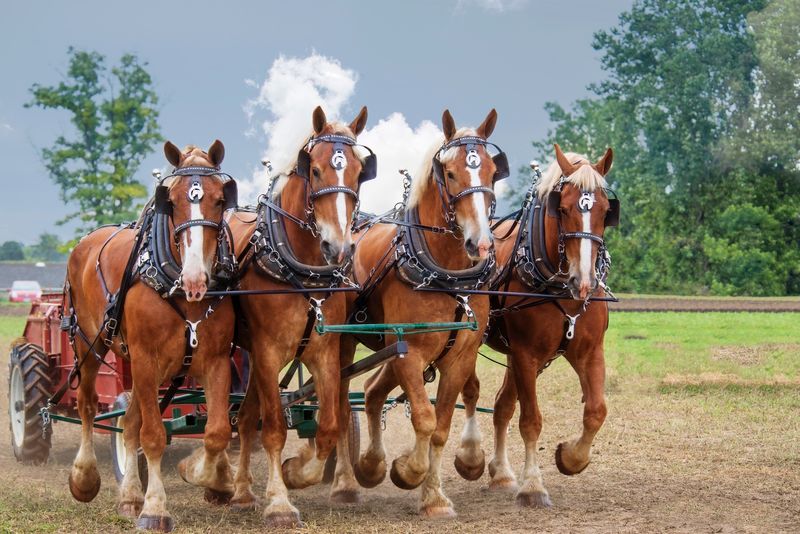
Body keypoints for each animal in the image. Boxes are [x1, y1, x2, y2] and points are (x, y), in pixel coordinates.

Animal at [63, 141, 238, 532]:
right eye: (169, 200)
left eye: (221, 199)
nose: (196, 278)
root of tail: (85, 241)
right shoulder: (145, 358)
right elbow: (154, 436)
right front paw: (155, 508)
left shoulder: (217, 360)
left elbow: (217, 430)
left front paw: (210, 478)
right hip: (90, 344)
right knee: (88, 407)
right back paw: (84, 478)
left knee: (129, 424)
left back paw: (129, 497)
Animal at [227, 105, 374, 528]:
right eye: (316, 170)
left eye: (359, 172)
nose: (338, 247)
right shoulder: (266, 352)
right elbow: (275, 429)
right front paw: (279, 501)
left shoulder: (324, 352)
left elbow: (328, 425)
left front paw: (299, 471)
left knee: (246, 419)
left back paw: (241, 491)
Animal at [330, 110, 506, 520]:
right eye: (451, 173)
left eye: (493, 171)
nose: (480, 243)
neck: (446, 276)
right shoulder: (410, 352)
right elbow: (423, 418)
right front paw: (409, 471)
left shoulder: (458, 359)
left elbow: (440, 426)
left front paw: (434, 497)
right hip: (347, 343)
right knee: (343, 406)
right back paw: (346, 482)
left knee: (373, 391)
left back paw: (371, 465)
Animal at [456, 144, 620, 508]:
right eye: (563, 208)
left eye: (606, 211)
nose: (583, 282)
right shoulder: (526, 354)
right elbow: (531, 420)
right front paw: (533, 486)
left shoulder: (589, 352)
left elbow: (596, 411)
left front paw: (571, 458)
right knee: (471, 391)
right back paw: (470, 456)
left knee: (502, 406)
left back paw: (502, 473)